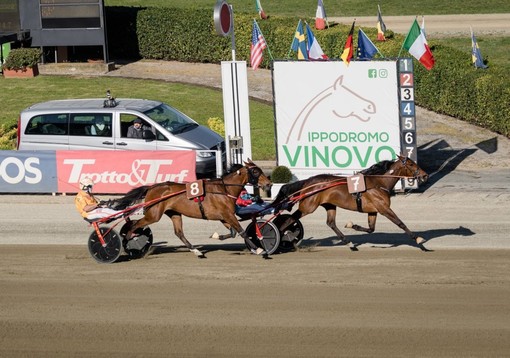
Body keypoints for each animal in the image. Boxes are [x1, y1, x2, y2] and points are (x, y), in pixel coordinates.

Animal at [120, 160, 272, 258]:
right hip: (154, 214)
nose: (269, 184)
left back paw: (196, 251)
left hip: (174, 213)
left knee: (179, 233)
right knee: (135, 224)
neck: (224, 190)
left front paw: (216, 236)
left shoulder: (224, 217)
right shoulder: (228, 215)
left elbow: (233, 232)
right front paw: (259, 249)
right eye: (255, 171)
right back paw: (127, 243)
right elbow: (242, 232)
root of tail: (151, 187)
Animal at [272, 155, 428, 248]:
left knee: (331, 223)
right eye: (411, 164)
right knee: (290, 219)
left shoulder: (373, 210)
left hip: (329, 205)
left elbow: (371, 229)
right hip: (308, 206)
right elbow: (400, 223)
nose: (425, 175)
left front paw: (352, 225)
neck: (378, 183)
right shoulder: (383, 208)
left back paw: (349, 242)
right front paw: (418, 239)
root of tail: (308, 182)